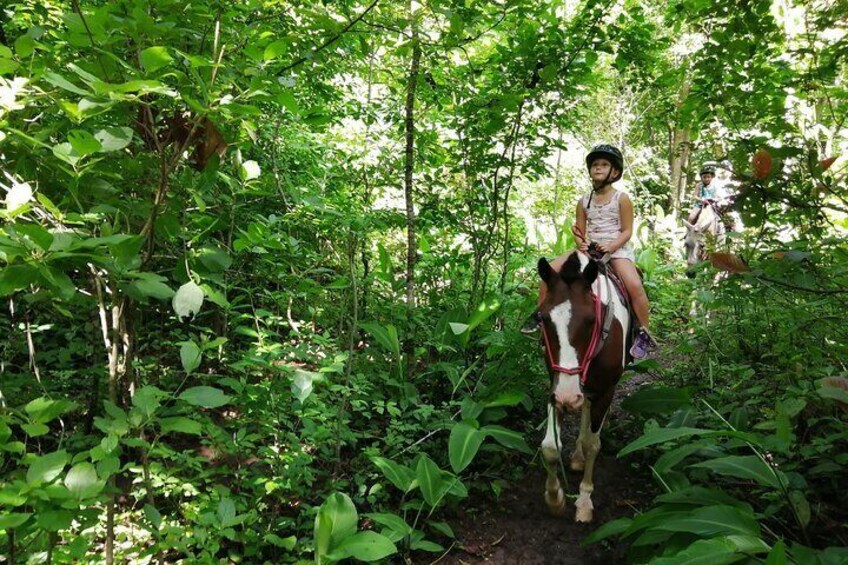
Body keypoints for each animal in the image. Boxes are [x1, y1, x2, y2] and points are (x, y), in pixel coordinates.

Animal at [536, 253, 628, 524]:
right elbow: (550, 446)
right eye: (542, 318)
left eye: (591, 320)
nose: (568, 397)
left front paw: (585, 501)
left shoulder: (606, 391)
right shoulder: (555, 385)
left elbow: (592, 445)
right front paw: (554, 498)